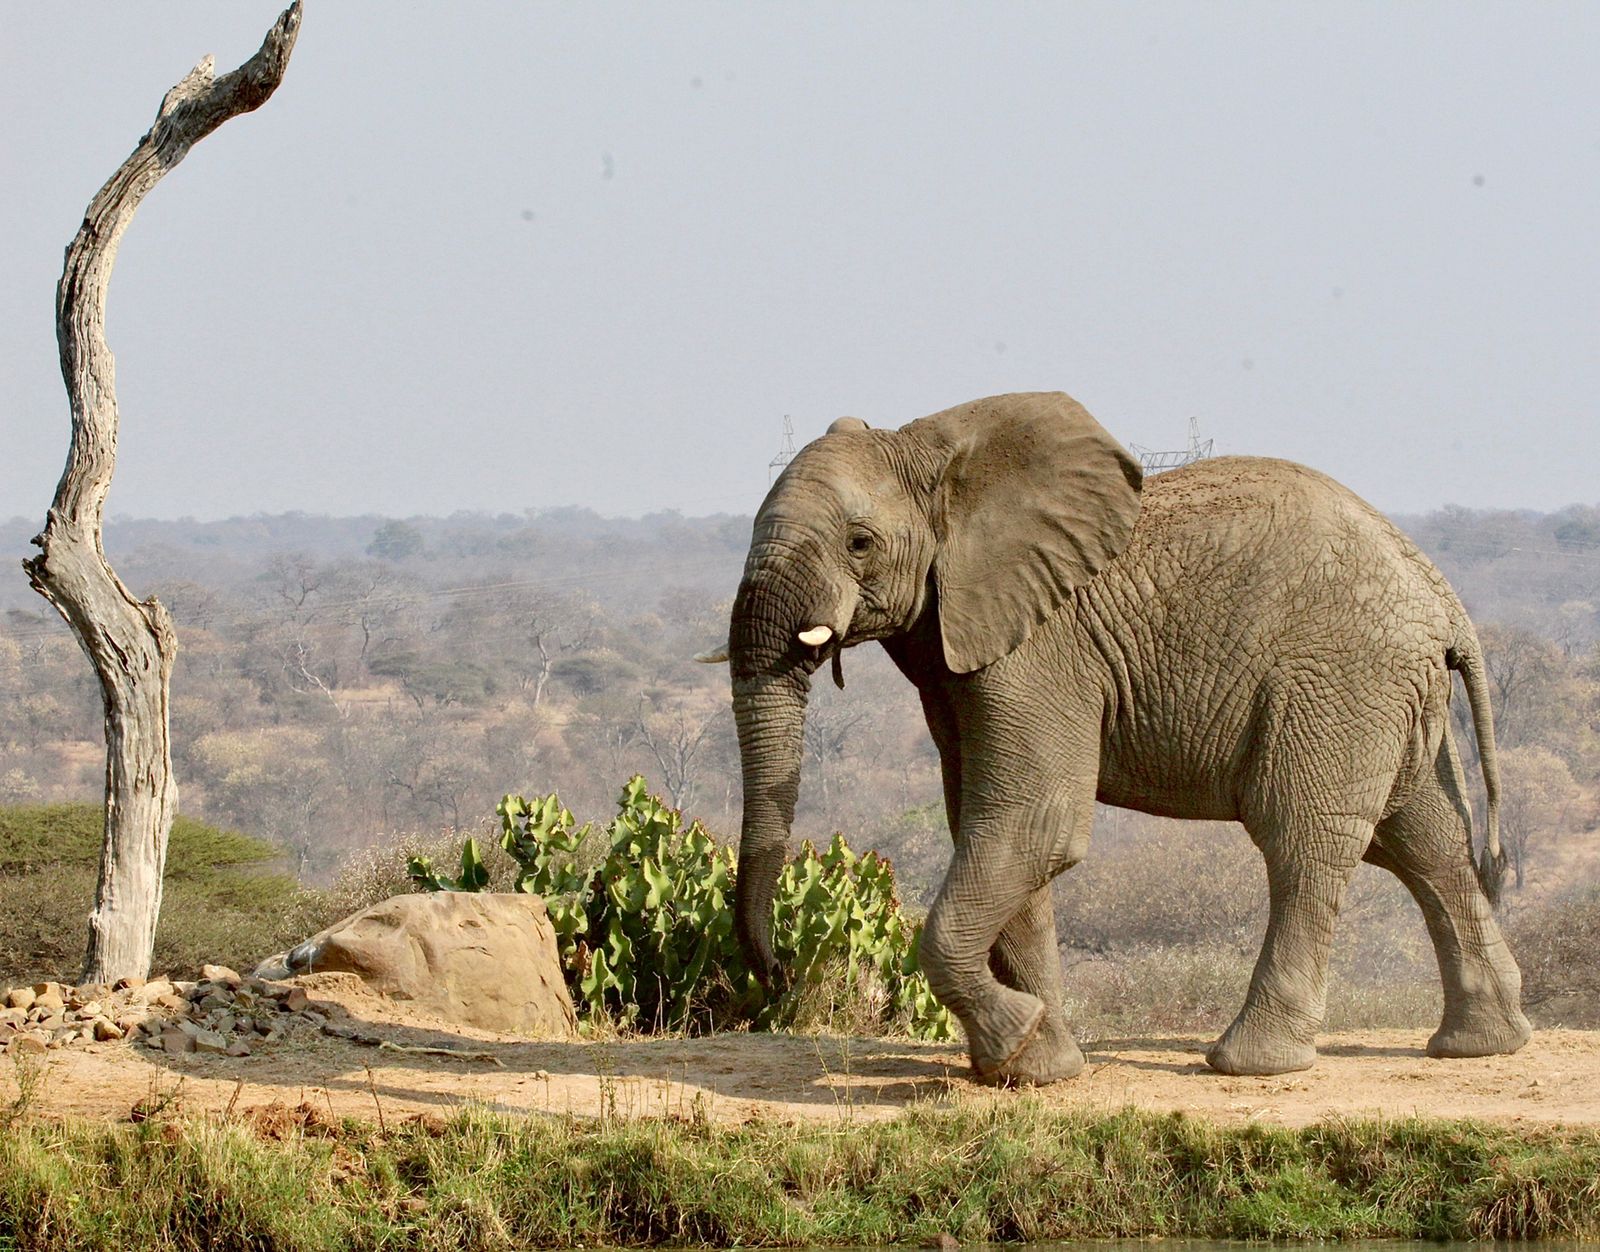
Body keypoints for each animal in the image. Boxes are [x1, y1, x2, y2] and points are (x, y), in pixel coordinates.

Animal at [705, 390, 1532, 1086]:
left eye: (860, 543)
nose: (778, 975)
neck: (932, 451)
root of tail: (1442, 597)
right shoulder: (961, 649)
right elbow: (989, 825)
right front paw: (1039, 1070)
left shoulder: (1041, 645)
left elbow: (1034, 823)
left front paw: (1017, 1040)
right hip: (1389, 696)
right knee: (1424, 840)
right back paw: (1481, 1044)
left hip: (1339, 679)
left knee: (1303, 839)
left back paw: (1250, 1064)